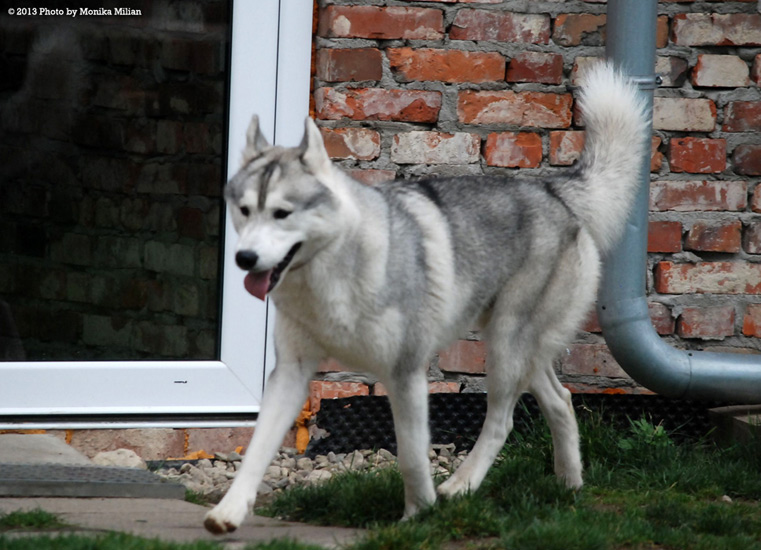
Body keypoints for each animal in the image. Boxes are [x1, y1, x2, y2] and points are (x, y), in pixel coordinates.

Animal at [204, 62, 648, 534]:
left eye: (282, 214)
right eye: (245, 211)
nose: (244, 259)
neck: (332, 272)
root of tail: (553, 190)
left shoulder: (405, 373)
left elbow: (412, 458)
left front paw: (418, 515)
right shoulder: (290, 372)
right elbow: (256, 450)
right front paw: (229, 512)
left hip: (505, 349)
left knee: (503, 420)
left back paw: (462, 486)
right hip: (520, 348)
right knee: (561, 400)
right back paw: (568, 485)